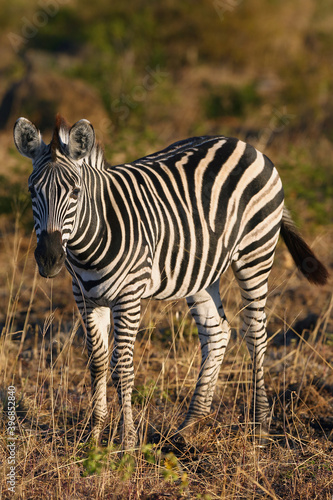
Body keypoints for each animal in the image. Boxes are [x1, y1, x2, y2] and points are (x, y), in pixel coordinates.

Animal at [13, 114, 326, 450]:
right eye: (31, 191)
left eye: (74, 192)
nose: (49, 259)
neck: (90, 243)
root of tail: (244, 144)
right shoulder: (84, 297)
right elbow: (96, 362)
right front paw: (92, 437)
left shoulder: (129, 296)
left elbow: (122, 367)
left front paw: (127, 443)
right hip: (201, 271)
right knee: (217, 332)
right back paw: (189, 426)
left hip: (256, 252)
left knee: (256, 333)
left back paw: (261, 427)